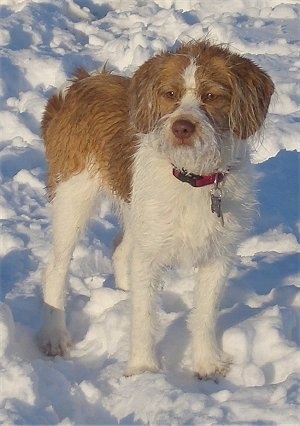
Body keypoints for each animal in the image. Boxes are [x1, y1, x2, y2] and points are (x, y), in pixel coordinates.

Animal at [37, 40, 274, 380]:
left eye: (211, 96)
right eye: (170, 94)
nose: (182, 127)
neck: (193, 178)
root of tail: (79, 84)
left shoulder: (218, 256)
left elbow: (205, 314)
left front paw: (206, 364)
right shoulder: (149, 256)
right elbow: (144, 316)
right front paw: (143, 372)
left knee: (120, 249)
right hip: (73, 200)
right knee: (56, 269)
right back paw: (54, 336)